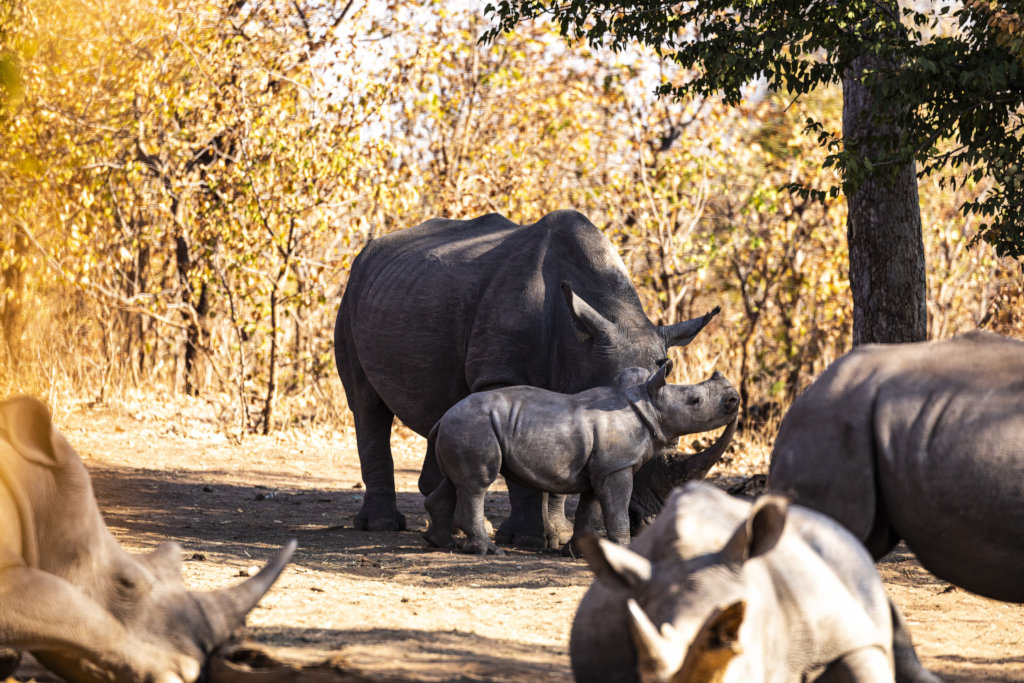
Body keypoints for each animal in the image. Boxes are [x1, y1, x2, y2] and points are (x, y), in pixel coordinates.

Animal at [423, 361, 739, 554]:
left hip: (463, 426)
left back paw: (440, 543)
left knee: (455, 483)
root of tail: (442, 419)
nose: (734, 399)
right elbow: (616, 510)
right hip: (475, 425)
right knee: (477, 484)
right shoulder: (617, 467)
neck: (650, 404)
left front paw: (576, 552)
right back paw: (487, 550)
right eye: (695, 402)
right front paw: (624, 550)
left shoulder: (601, 469)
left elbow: (589, 510)